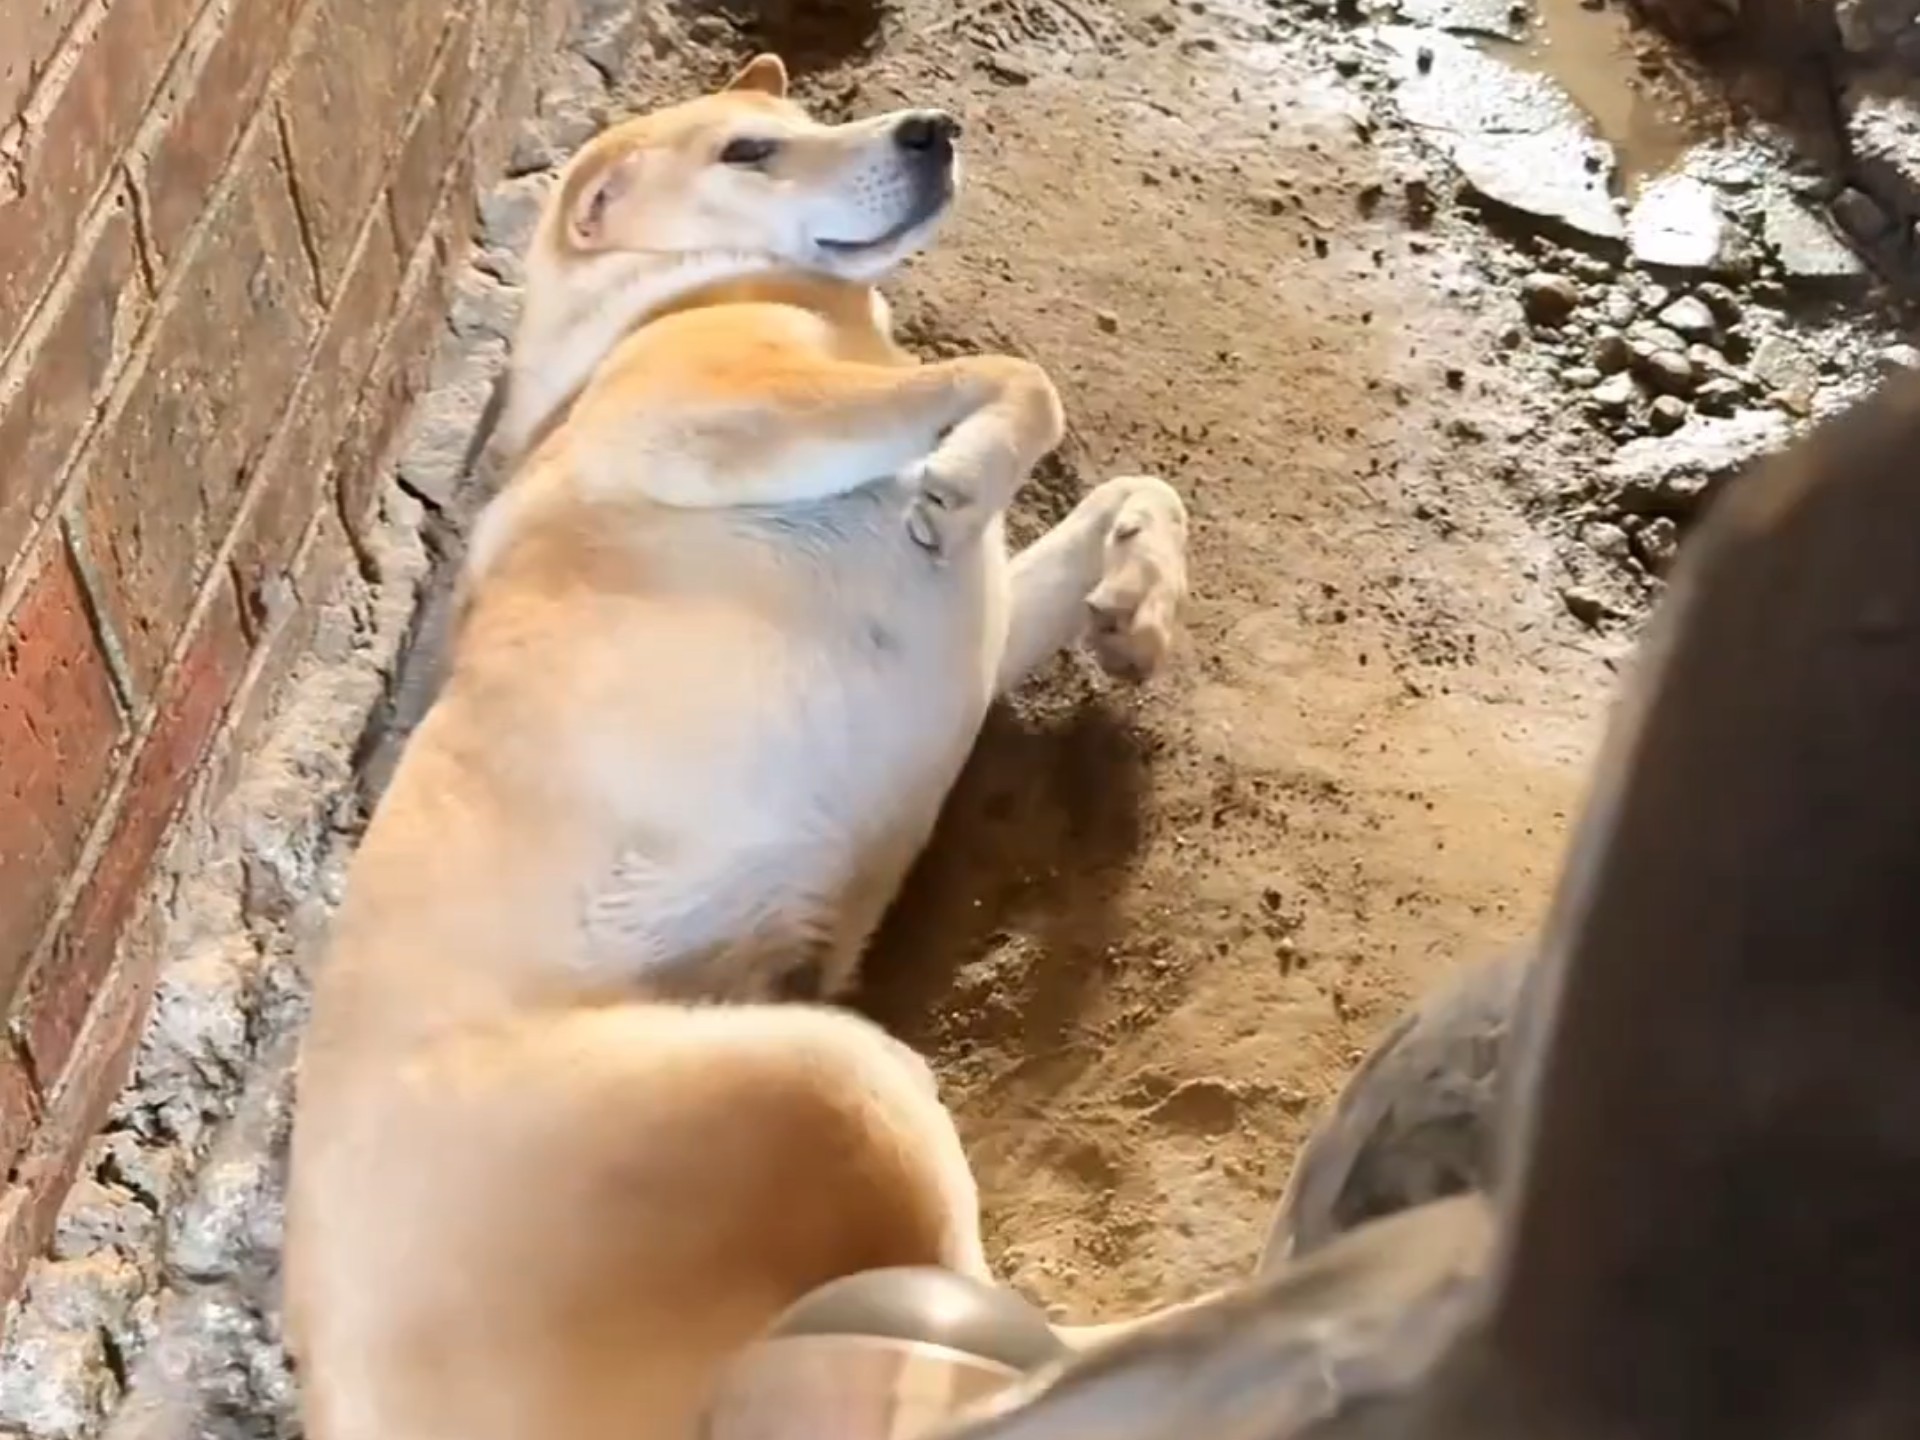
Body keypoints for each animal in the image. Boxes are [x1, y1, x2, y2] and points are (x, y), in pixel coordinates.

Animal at [285, 56, 1190, 1440]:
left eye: (804, 121)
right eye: (747, 152)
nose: (933, 127)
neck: (666, 297)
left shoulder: (976, 629)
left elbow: (1128, 491)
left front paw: (1137, 594)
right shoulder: (729, 412)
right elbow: (1016, 374)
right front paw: (969, 476)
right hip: (832, 1080)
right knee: (990, 1356)